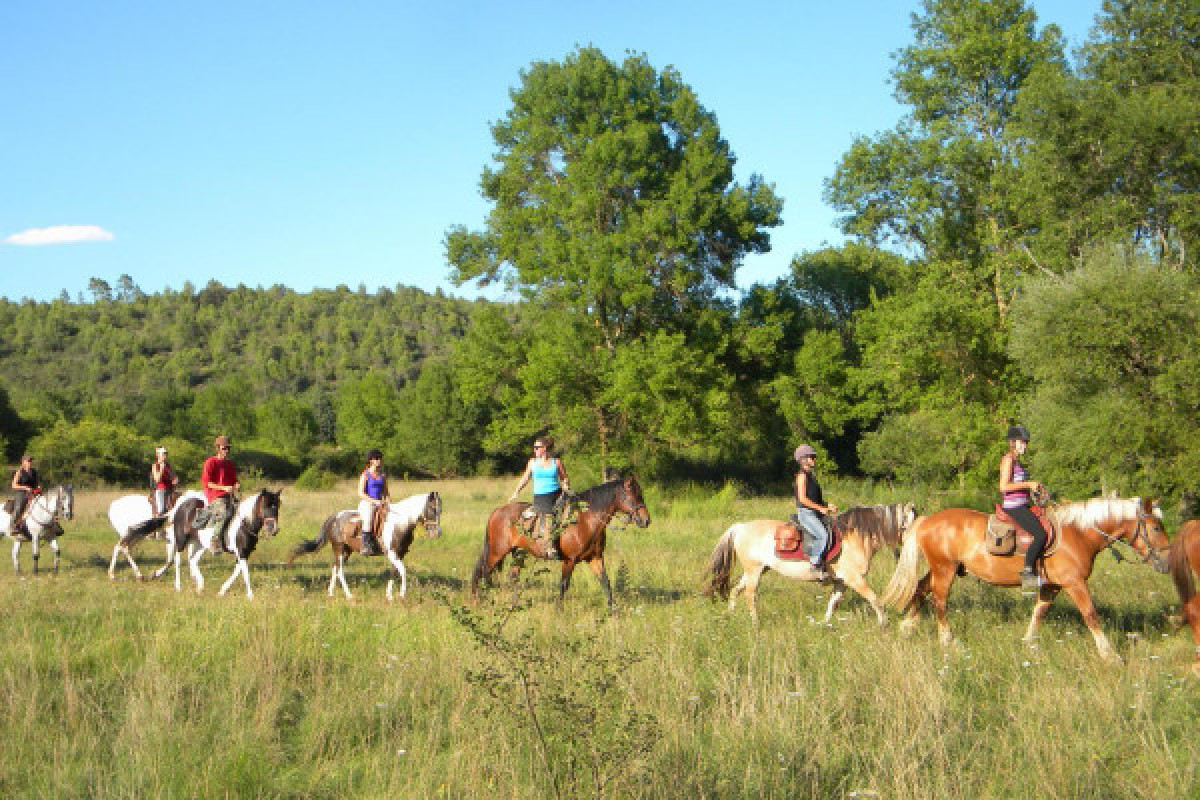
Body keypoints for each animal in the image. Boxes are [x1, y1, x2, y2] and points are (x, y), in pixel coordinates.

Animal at [287, 491, 443, 602]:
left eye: (440, 510)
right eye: (433, 509)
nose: (437, 533)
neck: (400, 523)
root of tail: (334, 517)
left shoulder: (399, 554)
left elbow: (394, 572)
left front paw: (389, 596)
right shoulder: (392, 553)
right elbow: (403, 571)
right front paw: (402, 595)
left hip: (346, 551)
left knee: (335, 567)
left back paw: (331, 593)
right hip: (339, 548)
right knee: (340, 571)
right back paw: (349, 595)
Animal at [471, 476, 651, 610]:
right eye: (633, 495)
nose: (646, 520)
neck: (585, 521)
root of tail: (497, 511)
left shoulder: (595, 558)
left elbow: (605, 582)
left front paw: (614, 611)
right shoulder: (569, 560)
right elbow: (564, 584)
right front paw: (559, 610)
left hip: (519, 552)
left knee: (512, 575)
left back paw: (513, 604)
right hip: (497, 551)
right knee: (483, 572)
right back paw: (481, 600)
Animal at [703, 502, 917, 624]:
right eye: (909, 523)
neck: (854, 537)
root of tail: (740, 527)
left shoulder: (841, 582)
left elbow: (833, 603)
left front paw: (825, 624)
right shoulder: (855, 579)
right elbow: (875, 599)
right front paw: (884, 624)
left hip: (756, 571)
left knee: (735, 591)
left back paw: (728, 615)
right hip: (753, 571)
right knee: (749, 595)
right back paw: (755, 623)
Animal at [882, 495, 1169, 662]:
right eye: (1156, 527)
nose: (1166, 563)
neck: (1078, 533)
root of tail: (927, 520)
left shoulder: (1052, 586)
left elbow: (1039, 612)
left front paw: (1028, 644)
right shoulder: (1074, 584)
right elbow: (1091, 615)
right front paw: (1110, 655)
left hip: (943, 568)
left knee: (921, 589)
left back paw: (907, 627)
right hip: (945, 570)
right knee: (940, 601)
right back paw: (947, 641)